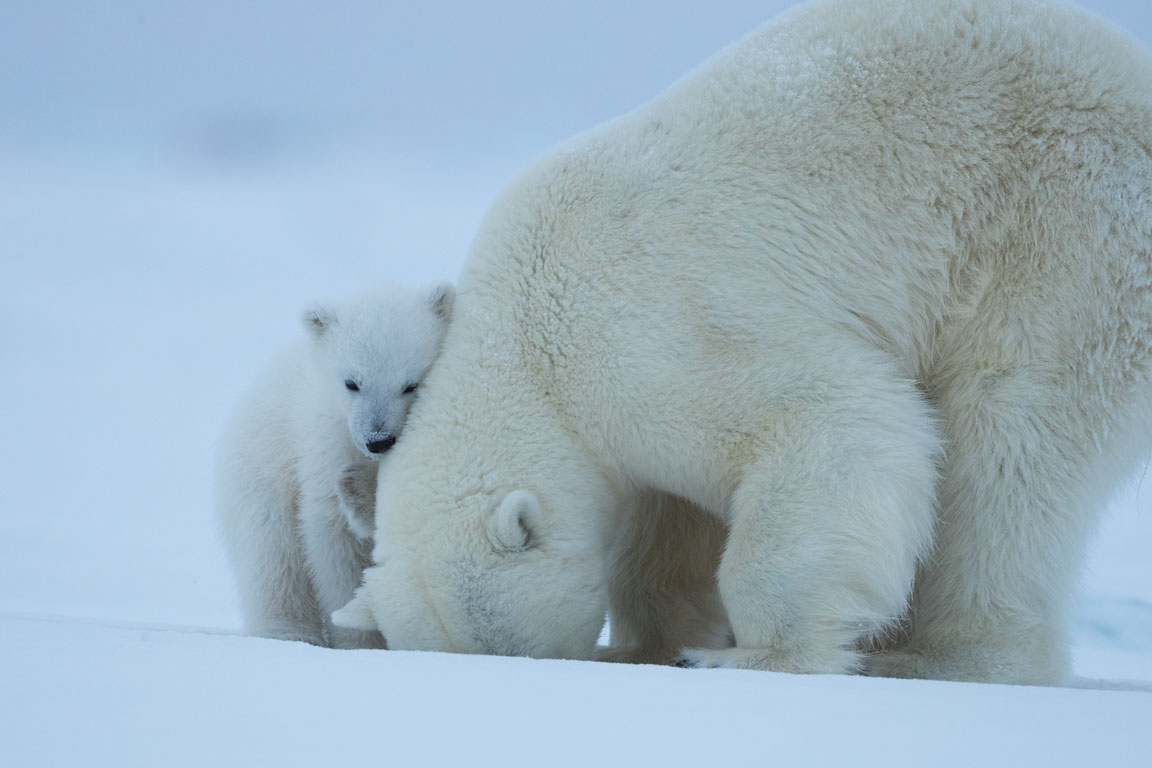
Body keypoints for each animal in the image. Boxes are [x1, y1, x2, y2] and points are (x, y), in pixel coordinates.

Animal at [336, 0, 1152, 686]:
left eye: (519, 647)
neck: (524, 346)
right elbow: (669, 523)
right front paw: (643, 646)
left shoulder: (642, 336)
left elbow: (842, 419)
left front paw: (750, 657)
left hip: (1061, 238)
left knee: (1009, 443)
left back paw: (941, 658)